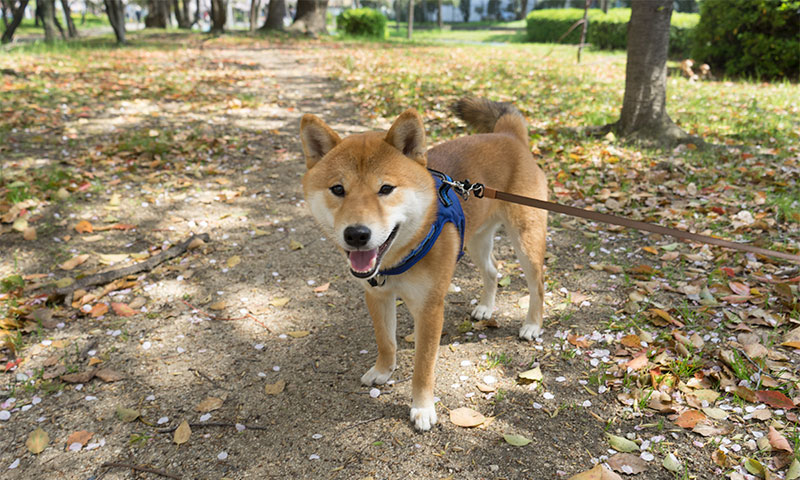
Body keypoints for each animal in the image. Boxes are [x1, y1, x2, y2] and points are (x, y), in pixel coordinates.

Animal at [296, 98, 548, 432]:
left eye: (386, 189)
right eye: (338, 189)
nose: (357, 234)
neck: (399, 259)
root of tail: (508, 136)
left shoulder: (429, 309)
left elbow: (423, 367)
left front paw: (422, 408)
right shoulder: (377, 295)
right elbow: (386, 341)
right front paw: (383, 371)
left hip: (525, 240)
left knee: (537, 284)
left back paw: (532, 324)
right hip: (476, 239)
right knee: (493, 270)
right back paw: (485, 308)